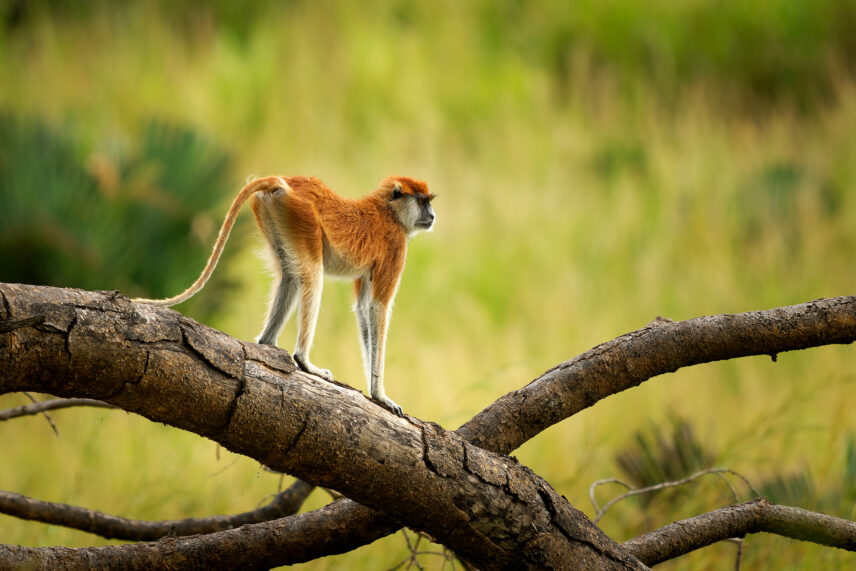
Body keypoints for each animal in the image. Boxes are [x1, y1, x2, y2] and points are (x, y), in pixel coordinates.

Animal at [134, 175, 436, 416]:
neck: (388, 211)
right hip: (303, 217)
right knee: (313, 274)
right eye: (423, 201)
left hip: (278, 215)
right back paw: (304, 362)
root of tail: (286, 181)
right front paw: (381, 396)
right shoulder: (395, 247)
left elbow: (363, 308)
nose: (432, 216)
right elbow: (377, 307)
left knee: (290, 276)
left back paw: (267, 342)